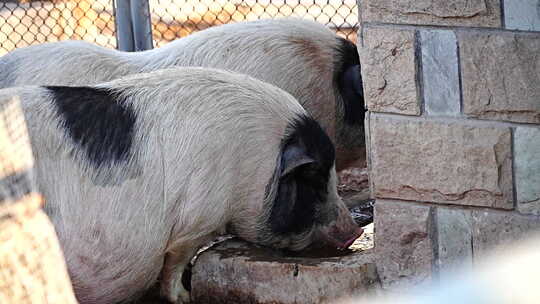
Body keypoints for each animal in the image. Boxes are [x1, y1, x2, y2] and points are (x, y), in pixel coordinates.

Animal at [1, 67, 362, 304]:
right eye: (314, 179)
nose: (356, 231)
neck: (252, 163)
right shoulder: (196, 219)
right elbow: (176, 261)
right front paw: (185, 297)